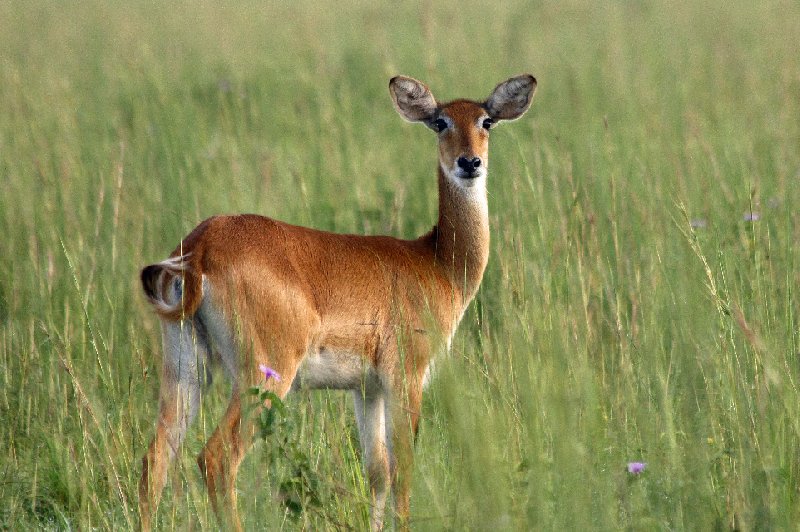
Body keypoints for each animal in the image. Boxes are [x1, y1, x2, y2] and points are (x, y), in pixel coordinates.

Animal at [139, 72, 536, 528]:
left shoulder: (366, 390)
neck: (437, 262)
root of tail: (200, 246)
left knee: (154, 462)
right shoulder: (406, 378)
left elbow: (377, 472)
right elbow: (404, 470)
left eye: (487, 121)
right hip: (265, 374)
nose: (469, 163)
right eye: (440, 122)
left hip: (186, 369)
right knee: (216, 459)